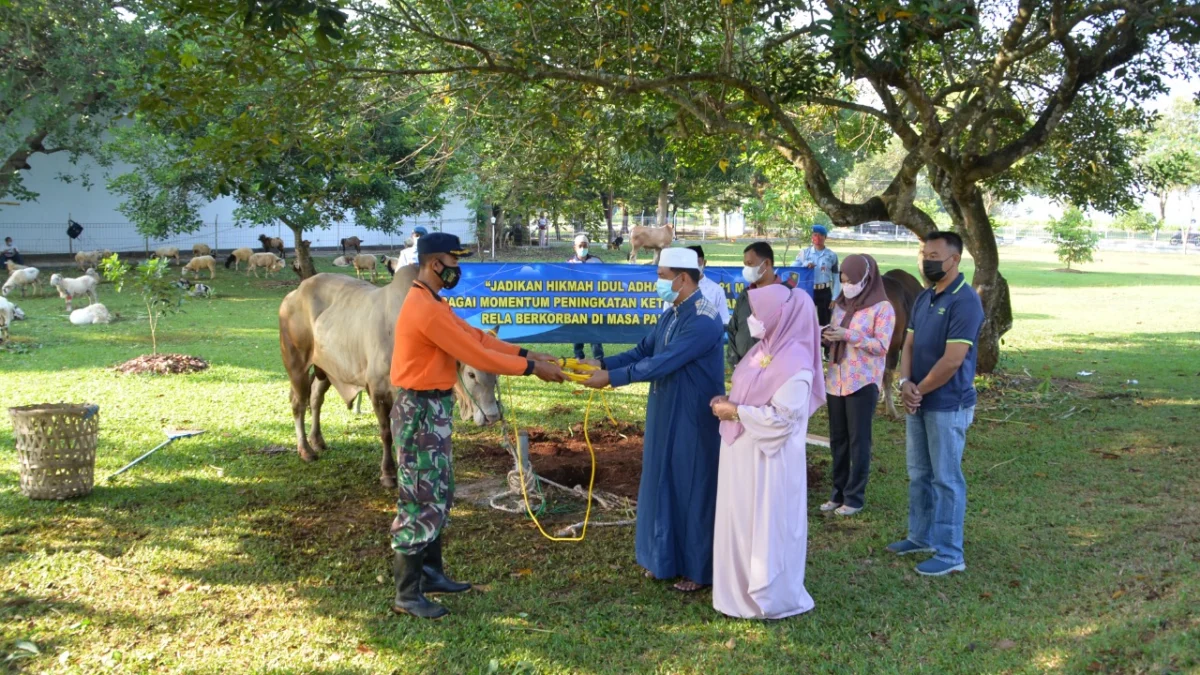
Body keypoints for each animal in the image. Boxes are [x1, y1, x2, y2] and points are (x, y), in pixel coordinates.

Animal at [277, 261, 501, 482]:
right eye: (471, 374)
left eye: (496, 375)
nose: (492, 416)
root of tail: (294, 293)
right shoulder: (378, 391)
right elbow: (387, 432)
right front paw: (388, 472)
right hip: (296, 364)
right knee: (298, 403)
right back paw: (306, 450)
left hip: (329, 368)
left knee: (316, 397)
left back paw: (317, 441)